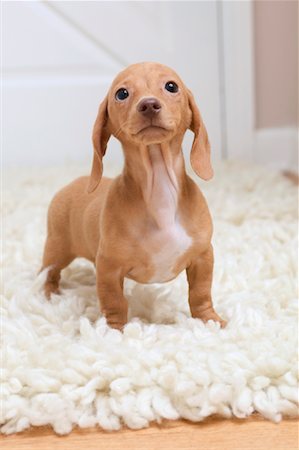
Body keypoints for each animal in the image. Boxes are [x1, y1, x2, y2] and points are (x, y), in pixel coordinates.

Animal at [41, 62, 226, 330]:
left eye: (171, 86)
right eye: (122, 93)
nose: (148, 104)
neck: (159, 190)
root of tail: (73, 183)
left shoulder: (203, 257)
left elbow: (200, 293)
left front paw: (209, 321)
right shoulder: (108, 267)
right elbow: (115, 302)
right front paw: (113, 330)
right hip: (57, 248)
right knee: (48, 273)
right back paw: (48, 296)